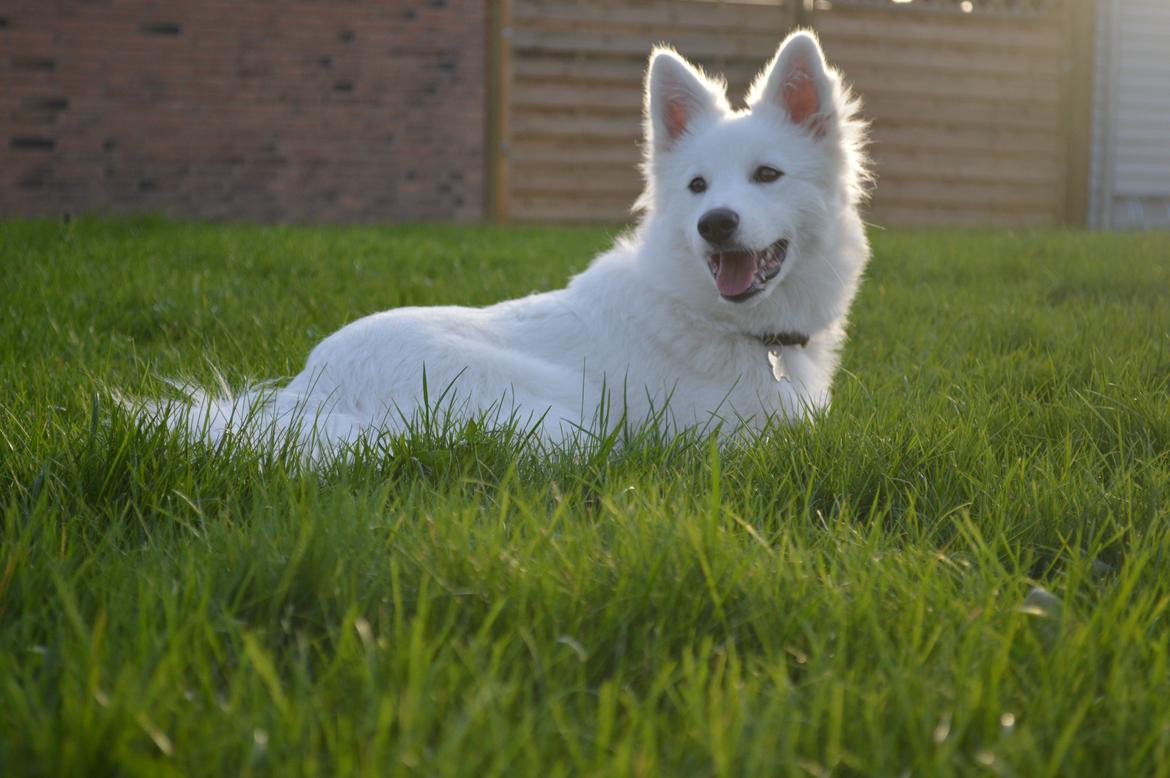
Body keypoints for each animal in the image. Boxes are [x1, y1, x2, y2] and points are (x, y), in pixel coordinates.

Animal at [157, 31, 870, 456]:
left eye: (767, 175)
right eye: (697, 186)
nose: (714, 224)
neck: (729, 325)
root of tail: (306, 395)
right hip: (565, 425)